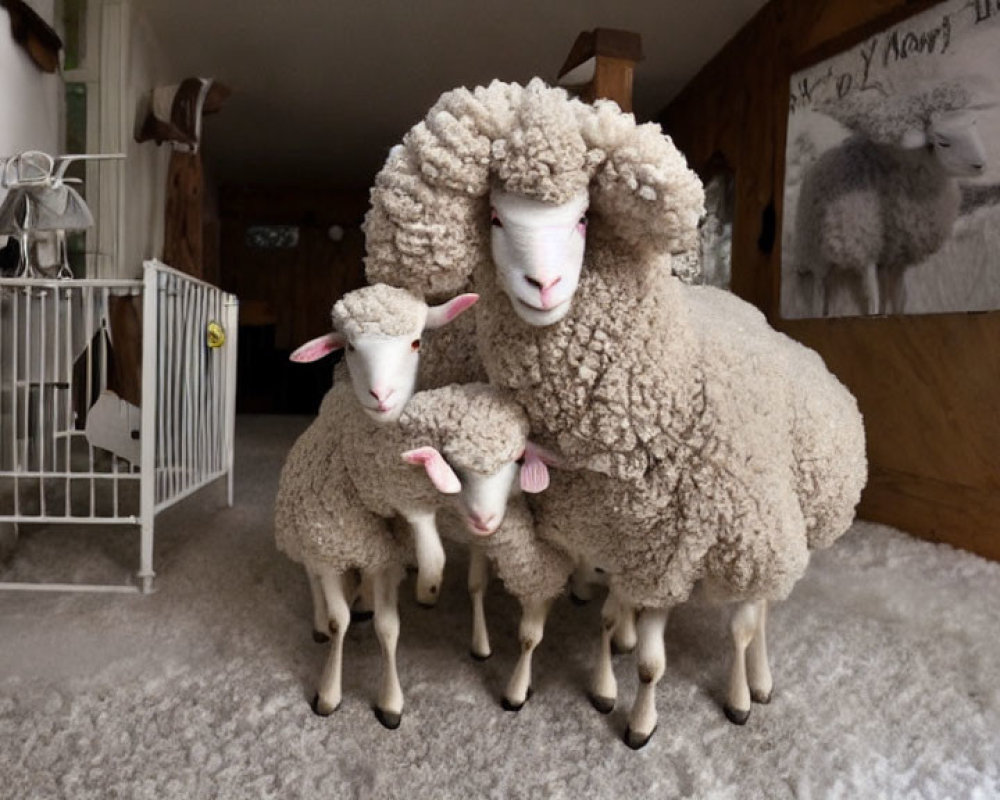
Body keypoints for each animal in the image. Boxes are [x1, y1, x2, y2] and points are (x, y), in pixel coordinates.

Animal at [362, 78, 868, 748]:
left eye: (582, 218)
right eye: (495, 216)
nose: (544, 285)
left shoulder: (727, 534)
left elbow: (720, 631)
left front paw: (672, 716)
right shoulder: (620, 536)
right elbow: (606, 625)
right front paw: (605, 684)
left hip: (774, 533)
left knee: (757, 613)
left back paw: (754, 681)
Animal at [796, 81, 992, 318]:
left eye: (974, 124)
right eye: (943, 142)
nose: (981, 164)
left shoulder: (901, 253)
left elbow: (899, 295)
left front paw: (897, 312)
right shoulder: (865, 245)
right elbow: (872, 296)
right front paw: (873, 313)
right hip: (816, 252)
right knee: (820, 287)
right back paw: (818, 311)